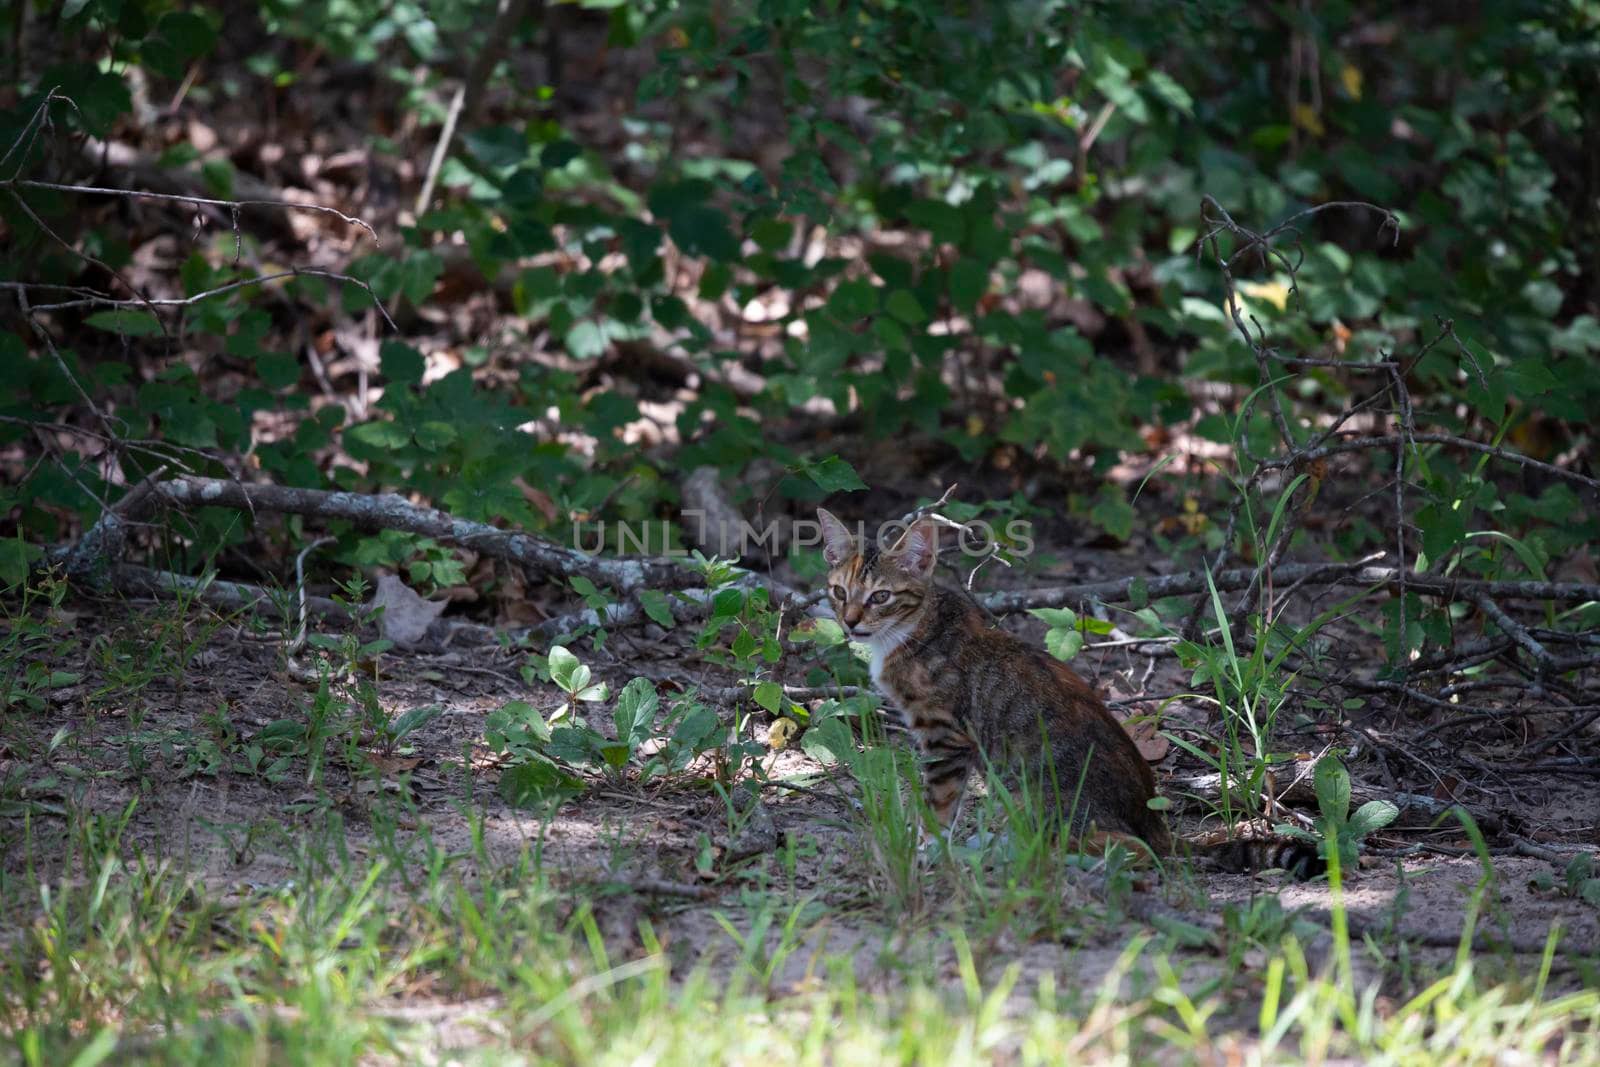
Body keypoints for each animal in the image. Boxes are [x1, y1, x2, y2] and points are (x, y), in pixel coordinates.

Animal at [819, 508, 1171, 851]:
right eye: (839, 592)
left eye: (880, 597)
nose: (849, 622)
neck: (911, 629)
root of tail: (1153, 822)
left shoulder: (944, 735)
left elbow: (940, 802)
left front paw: (926, 844)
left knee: (1126, 846)